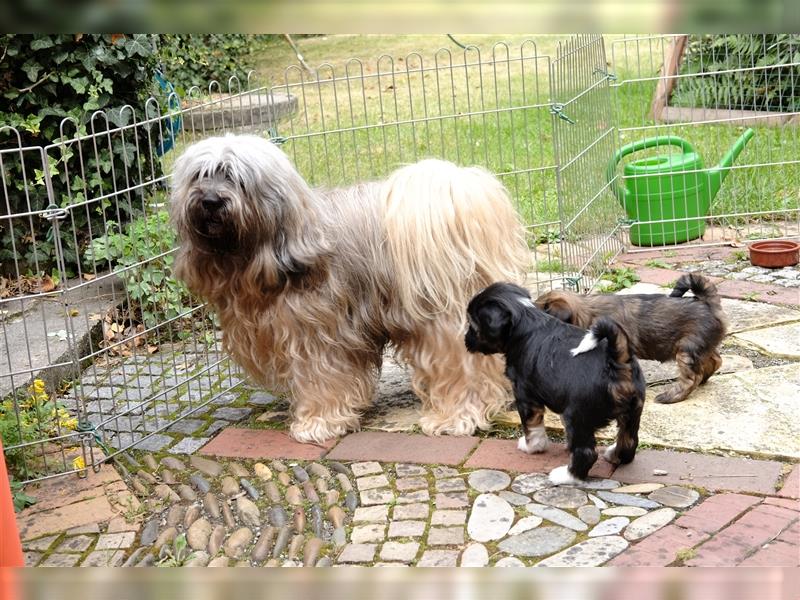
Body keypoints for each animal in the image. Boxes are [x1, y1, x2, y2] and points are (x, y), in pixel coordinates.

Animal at [170, 136, 532, 446]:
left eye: (236, 179)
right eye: (200, 176)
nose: (211, 201)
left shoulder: (317, 336)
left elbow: (321, 380)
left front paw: (316, 423)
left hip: (442, 315)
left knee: (463, 367)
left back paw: (454, 418)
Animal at [466, 284, 648, 486]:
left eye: (473, 324)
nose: (465, 341)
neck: (526, 317)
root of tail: (617, 363)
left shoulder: (525, 395)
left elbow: (532, 428)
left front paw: (531, 447)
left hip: (578, 416)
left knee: (586, 453)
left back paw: (566, 476)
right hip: (633, 411)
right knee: (629, 442)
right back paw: (614, 455)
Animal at [536, 274, 728, 406]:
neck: (586, 311)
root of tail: (707, 303)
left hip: (686, 350)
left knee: (691, 378)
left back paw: (670, 396)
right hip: (700, 345)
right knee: (715, 360)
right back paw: (704, 380)